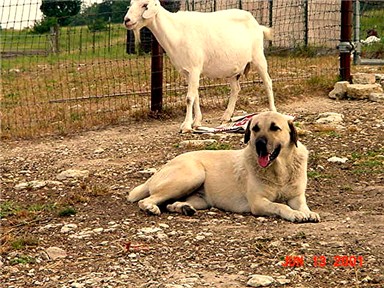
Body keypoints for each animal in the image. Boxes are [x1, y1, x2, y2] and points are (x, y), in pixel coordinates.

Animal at [124, 0, 274, 132]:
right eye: (131, 4)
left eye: (144, 5)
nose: (127, 20)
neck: (176, 31)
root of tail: (258, 25)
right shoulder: (187, 71)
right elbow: (195, 95)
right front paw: (196, 122)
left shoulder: (194, 68)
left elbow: (189, 97)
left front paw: (186, 126)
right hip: (234, 69)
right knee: (236, 89)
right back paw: (226, 116)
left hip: (258, 57)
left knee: (268, 82)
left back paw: (273, 111)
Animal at [127, 111, 320, 223]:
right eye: (255, 128)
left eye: (275, 128)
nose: (259, 144)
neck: (280, 169)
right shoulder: (258, 203)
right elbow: (281, 206)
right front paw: (295, 214)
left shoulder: (296, 197)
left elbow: (303, 206)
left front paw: (308, 213)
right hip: (193, 174)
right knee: (148, 200)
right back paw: (152, 208)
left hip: (200, 198)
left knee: (170, 203)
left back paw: (183, 208)